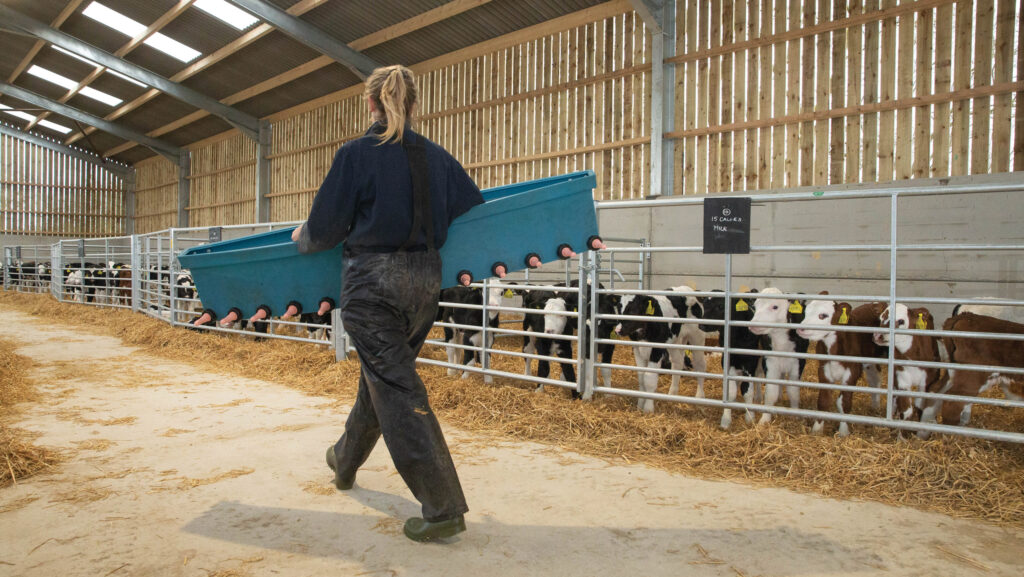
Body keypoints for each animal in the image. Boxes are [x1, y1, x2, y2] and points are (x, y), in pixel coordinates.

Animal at [794, 295, 884, 436]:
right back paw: (875, 406)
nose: (800, 329)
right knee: (874, 379)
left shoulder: (852, 371)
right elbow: (823, 400)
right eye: (806, 311)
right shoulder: (823, 369)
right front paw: (817, 430)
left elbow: (844, 402)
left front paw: (843, 432)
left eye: (823, 315)